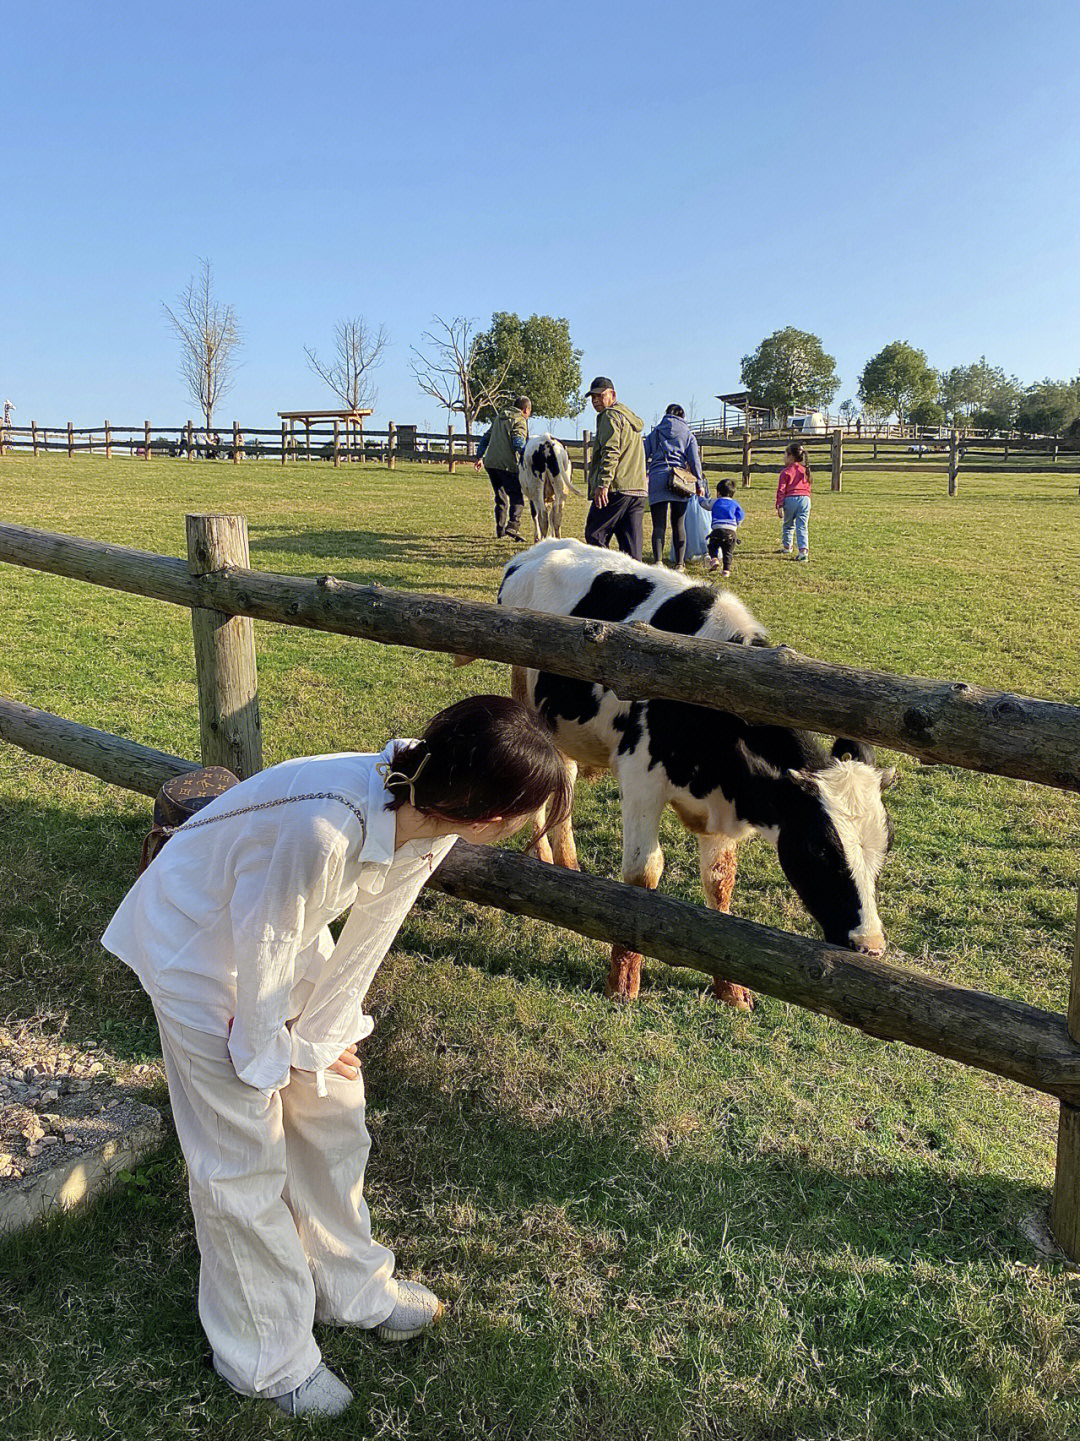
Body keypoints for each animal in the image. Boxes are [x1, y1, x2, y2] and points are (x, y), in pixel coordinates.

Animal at [496, 536, 893, 1008]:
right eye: (819, 849)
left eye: (885, 847)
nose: (869, 946)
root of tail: (544, 546)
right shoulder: (640, 780)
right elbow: (643, 874)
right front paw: (623, 983)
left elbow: (719, 882)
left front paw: (731, 989)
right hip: (526, 700)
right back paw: (542, 861)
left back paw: (568, 866)